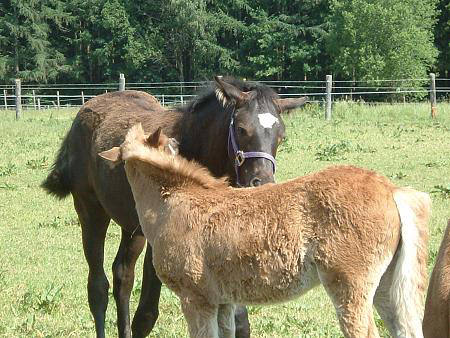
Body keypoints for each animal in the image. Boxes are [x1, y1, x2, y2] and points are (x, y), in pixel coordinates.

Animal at [42, 76, 308, 338]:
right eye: (242, 129)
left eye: (281, 136)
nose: (261, 182)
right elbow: (146, 314)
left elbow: (238, 319)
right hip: (90, 209)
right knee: (98, 286)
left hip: (133, 229)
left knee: (123, 276)